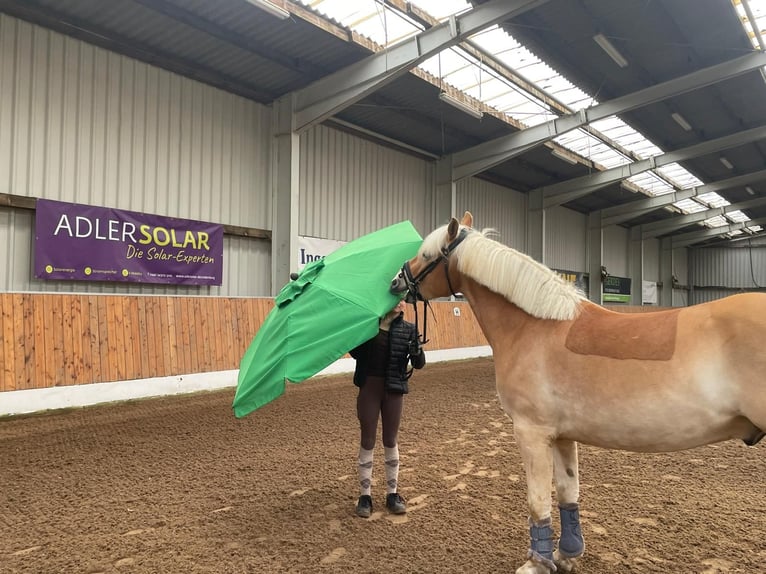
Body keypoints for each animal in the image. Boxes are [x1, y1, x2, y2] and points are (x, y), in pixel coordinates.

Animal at [390, 211, 766, 574]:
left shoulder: (531, 431)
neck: (535, 328)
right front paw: (567, 555)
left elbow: (538, 501)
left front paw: (537, 563)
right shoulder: (561, 435)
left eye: (427, 255)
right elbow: (568, 493)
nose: (396, 281)